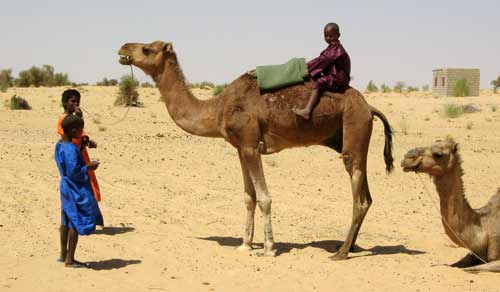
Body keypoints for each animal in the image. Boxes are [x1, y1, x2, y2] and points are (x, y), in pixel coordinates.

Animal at [118, 41, 394, 260]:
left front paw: (269, 248)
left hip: (354, 128)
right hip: (357, 140)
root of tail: (369, 107)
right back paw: (350, 246)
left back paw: (341, 253)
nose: (122, 49)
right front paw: (245, 244)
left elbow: (264, 197)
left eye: (146, 49)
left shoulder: (251, 146)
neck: (218, 109)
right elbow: (248, 198)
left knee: (358, 196)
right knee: (367, 195)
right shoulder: (241, 148)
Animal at [400, 138, 500, 272]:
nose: (408, 157)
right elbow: (458, 265)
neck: (484, 227)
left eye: (438, 154)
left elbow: (470, 269)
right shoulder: (474, 254)